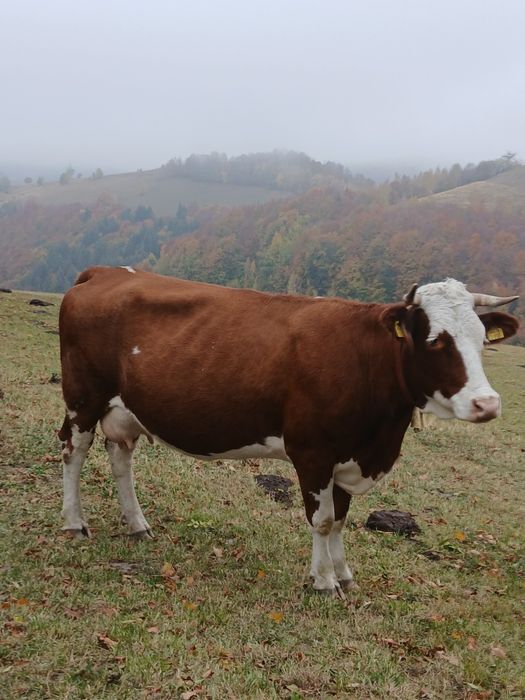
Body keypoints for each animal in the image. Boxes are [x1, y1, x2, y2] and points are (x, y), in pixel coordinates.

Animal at [58, 267, 519, 596]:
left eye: (482, 339)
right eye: (436, 340)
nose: (487, 403)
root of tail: (105, 272)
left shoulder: (348, 456)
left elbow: (341, 519)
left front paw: (344, 573)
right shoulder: (312, 452)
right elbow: (322, 519)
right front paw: (324, 582)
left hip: (124, 408)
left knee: (120, 455)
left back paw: (137, 524)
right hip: (84, 398)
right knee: (73, 450)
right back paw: (74, 523)